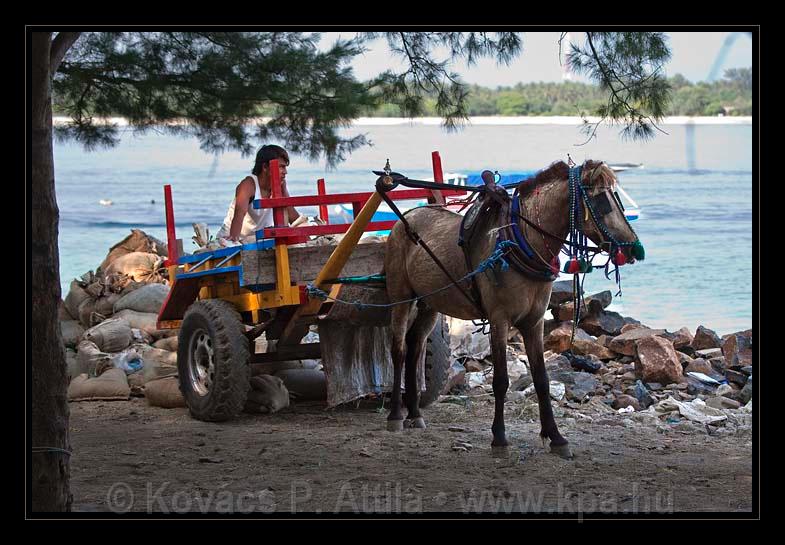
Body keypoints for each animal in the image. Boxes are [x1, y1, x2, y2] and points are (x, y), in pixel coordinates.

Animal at [382, 159, 644, 456]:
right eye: (601, 200)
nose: (634, 249)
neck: (520, 242)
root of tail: (406, 217)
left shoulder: (534, 322)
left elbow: (541, 379)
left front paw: (556, 437)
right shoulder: (499, 320)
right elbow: (500, 381)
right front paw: (499, 437)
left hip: (430, 303)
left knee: (415, 348)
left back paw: (415, 413)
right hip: (402, 296)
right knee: (399, 350)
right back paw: (395, 415)